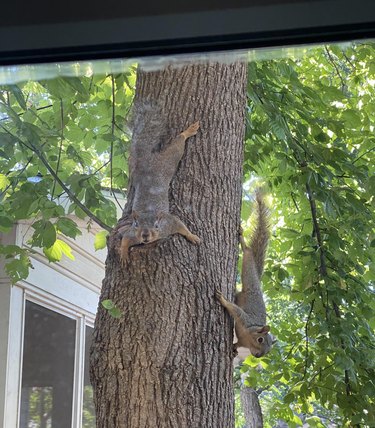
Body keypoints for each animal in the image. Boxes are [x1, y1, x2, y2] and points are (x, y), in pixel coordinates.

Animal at [217, 191, 276, 358]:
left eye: (269, 350)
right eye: (260, 340)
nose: (258, 356)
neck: (248, 337)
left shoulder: (243, 340)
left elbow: (237, 344)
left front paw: (234, 348)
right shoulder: (245, 320)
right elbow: (235, 310)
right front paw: (223, 300)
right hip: (249, 275)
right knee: (248, 252)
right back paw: (242, 240)